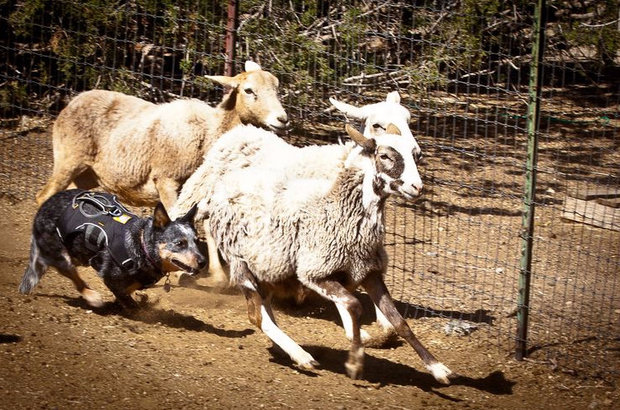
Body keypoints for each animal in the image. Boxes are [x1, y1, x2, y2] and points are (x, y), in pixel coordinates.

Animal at [17, 189, 205, 308]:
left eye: (196, 241)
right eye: (180, 243)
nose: (203, 261)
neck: (142, 245)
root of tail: (43, 206)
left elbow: (130, 287)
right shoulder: (107, 273)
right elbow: (124, 294)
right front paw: (133, 305)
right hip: (60, 254)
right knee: (73, 275)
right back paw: (92, 297)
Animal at [37, 60, 290, 211]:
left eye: (277, 88)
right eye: (249, 90)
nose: (282, 119)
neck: (210, 130)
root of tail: (72, 103)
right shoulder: (166, 179)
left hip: (87, 174)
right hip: (69, 159)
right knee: (43, 197)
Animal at [182, 122, 452, 384]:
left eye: (415, 155)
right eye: (385, 156)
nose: (417, 187)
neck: (339, 210)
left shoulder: (368, 271)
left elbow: (399, 321)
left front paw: (438, 369)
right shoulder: (315, 272)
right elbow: (353, 305)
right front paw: (355, 361)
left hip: (267, 266)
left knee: (264, 310)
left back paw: (287, 349)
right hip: (240, 262)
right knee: (256, 317)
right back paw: (302, 356)